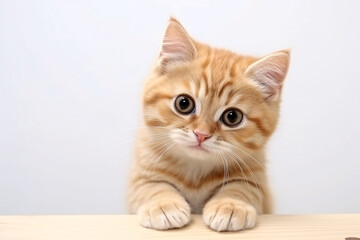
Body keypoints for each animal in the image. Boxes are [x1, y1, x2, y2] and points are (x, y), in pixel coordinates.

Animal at [127, 17, 290, 232]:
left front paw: (230, 205)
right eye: (184, 104)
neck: (196, 171)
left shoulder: (255, 177)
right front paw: (163, 205)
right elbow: (152, 187)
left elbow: (240, 188)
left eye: (232, 117)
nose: (201, 134)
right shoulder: (141, 174)